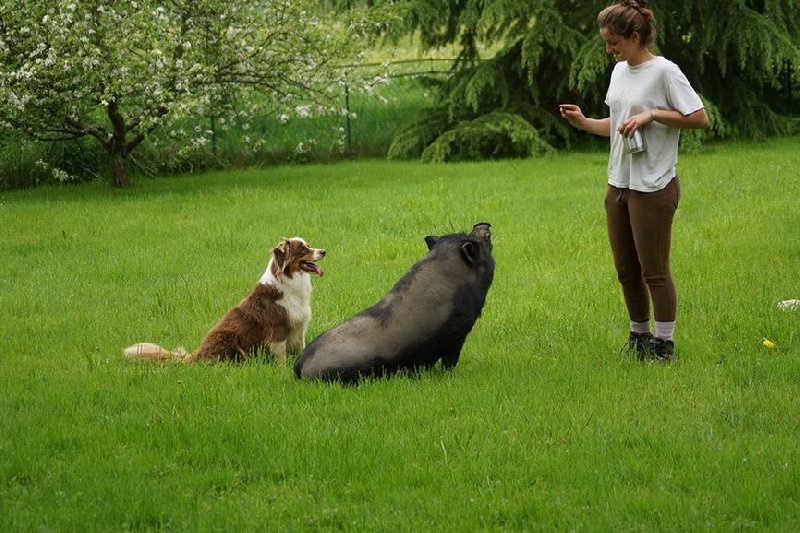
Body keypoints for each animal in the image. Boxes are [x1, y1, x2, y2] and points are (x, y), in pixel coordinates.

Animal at [125, 239, 324, 364]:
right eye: (303, 249)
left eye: (308, 245)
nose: (324, 251)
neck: (290, 282)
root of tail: (195, 355)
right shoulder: (277, 329)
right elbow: (280, 354)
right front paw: (282, 369)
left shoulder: (298, 328)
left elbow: (301, 348)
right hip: (228, 338)